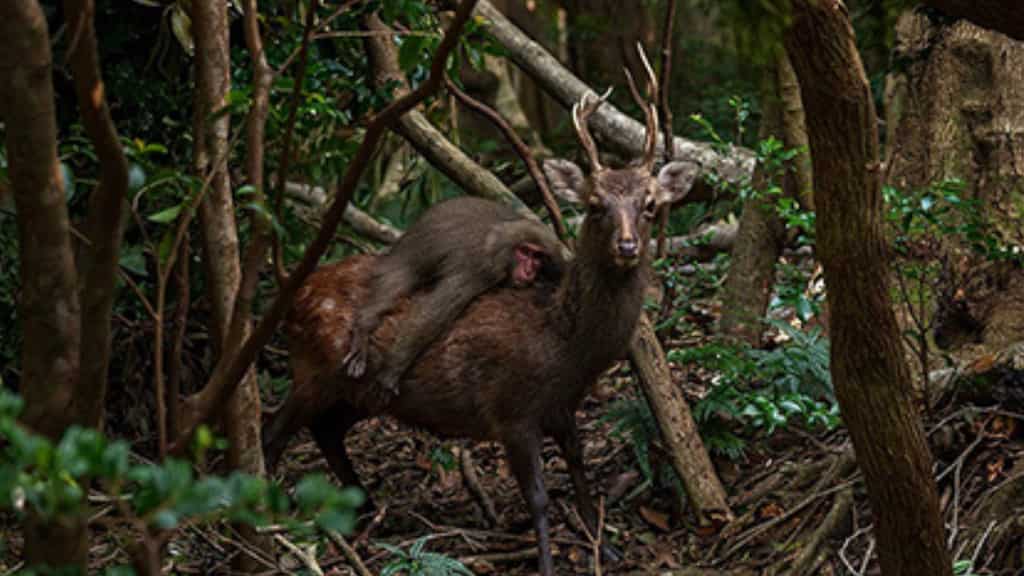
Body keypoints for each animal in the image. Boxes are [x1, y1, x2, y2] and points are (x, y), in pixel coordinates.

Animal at [342, 196, 568, 403]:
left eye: (537, 257)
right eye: (524, 252)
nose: (529, 271)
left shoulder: (557, 262)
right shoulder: (479, 268)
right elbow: (431, 315)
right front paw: (392, 370)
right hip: (410, 252)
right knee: (397, 279)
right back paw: (364, 324)